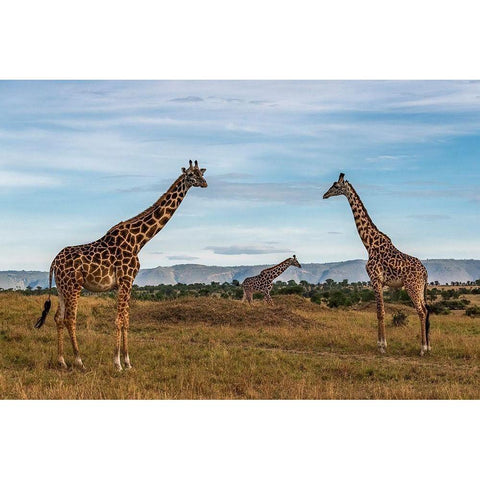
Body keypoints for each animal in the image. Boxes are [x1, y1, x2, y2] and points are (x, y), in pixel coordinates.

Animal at [33, 159, 206, 370]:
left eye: (201, 173)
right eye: (190, 175)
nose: (205, 183)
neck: (138, 241)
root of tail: (53, 263)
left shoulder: (127, 282)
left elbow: (126, 320)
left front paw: (127, 362)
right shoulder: (126, 279)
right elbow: (119, 320)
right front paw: (118, 363)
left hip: (61, 288)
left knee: (58, 317)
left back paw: (62, 361)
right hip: (74, 286)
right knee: (70, 319)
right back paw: (79, 361)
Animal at [322, 174, 432, 354]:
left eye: (336, 186)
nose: (325, 195)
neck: (369, 244)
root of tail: (425, 272)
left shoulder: (375, 279)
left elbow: (380, 312)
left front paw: (382, 346)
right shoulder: (379, 281)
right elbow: (379, 312)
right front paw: (381, 344)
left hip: (412, 286)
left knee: (421, 312)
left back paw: (422, 349)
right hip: (420, 288)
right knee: (427, 310)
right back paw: (429, 346)